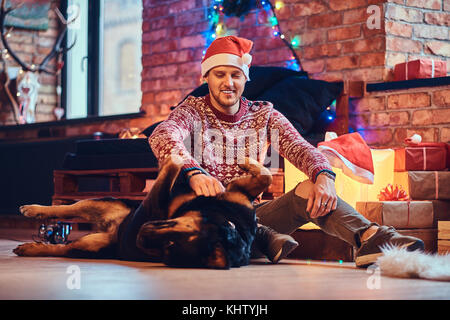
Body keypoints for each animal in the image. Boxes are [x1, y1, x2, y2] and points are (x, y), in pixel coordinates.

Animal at [14, 156, 272, 268]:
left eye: (169, 247)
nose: (139, 235)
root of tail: (113, 231)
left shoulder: (153, 205)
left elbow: (172, 166)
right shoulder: (241, 199)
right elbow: (265, 176)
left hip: (88, 247)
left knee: (61, 247)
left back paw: (31, 247)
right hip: (105, 202)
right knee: (67, 207)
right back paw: (33, 210)